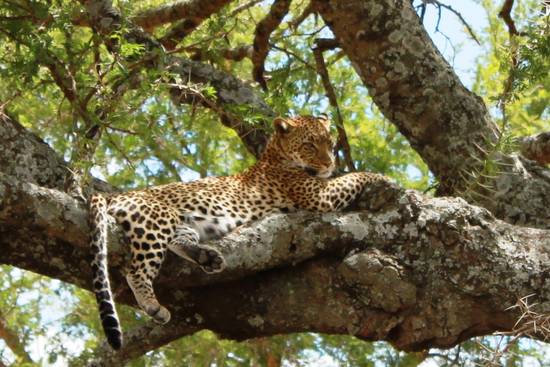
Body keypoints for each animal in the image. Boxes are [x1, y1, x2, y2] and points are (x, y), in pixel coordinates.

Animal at [88, 115, 386, 350]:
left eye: (330, 144)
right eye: (309, 145)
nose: (329, 164)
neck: (274, 155)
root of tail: (118, 194)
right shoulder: (320, 196)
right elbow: (351, 177)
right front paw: (381, 176)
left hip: (181, 223)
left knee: (177, 242)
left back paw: (208, 258)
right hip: (155, 218)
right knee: (136, 271)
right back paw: (153, 305)